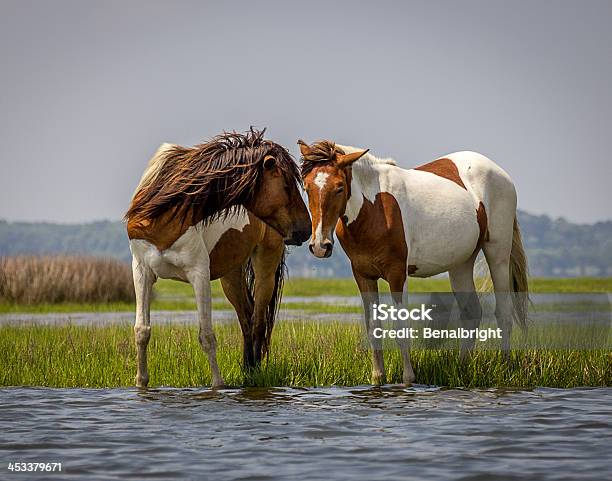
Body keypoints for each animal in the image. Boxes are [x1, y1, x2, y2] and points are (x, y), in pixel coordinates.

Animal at [298, 138, 528, 382]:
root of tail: (501, 174)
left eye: (340, 187)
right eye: (307, 187)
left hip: (498, 254)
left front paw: (408, 379)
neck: (373, 209)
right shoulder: (363, 275)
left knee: (503, 314)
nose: (320, 246)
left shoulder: (397, 274)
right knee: (471, 312)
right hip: (461, 263)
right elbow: (373, 329)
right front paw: (377, 378)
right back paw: (462, 368)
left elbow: (401, 328)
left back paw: (506, 368)